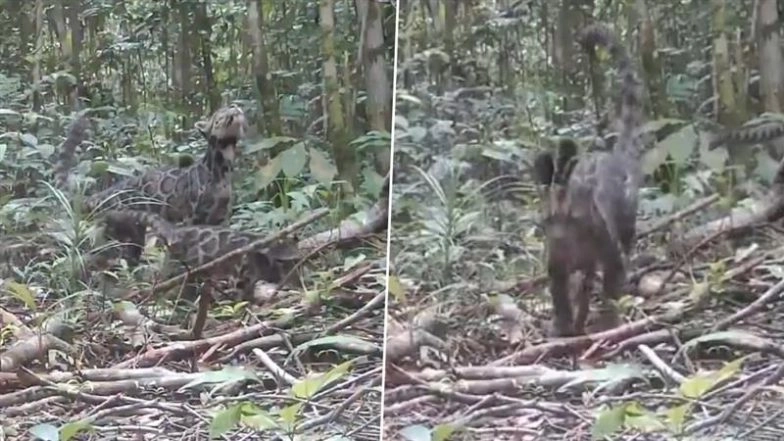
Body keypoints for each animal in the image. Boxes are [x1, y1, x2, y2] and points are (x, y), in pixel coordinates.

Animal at [534, 24, 645, 338]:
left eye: (573, 216)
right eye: (548, 219)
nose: (560, 238)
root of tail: (614, 153)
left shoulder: (608, 252)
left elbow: (611, 286)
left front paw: (608, 323)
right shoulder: (556, 264)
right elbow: (560, 296)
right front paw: (563, 327)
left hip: (626, 217)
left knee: (625, 248)